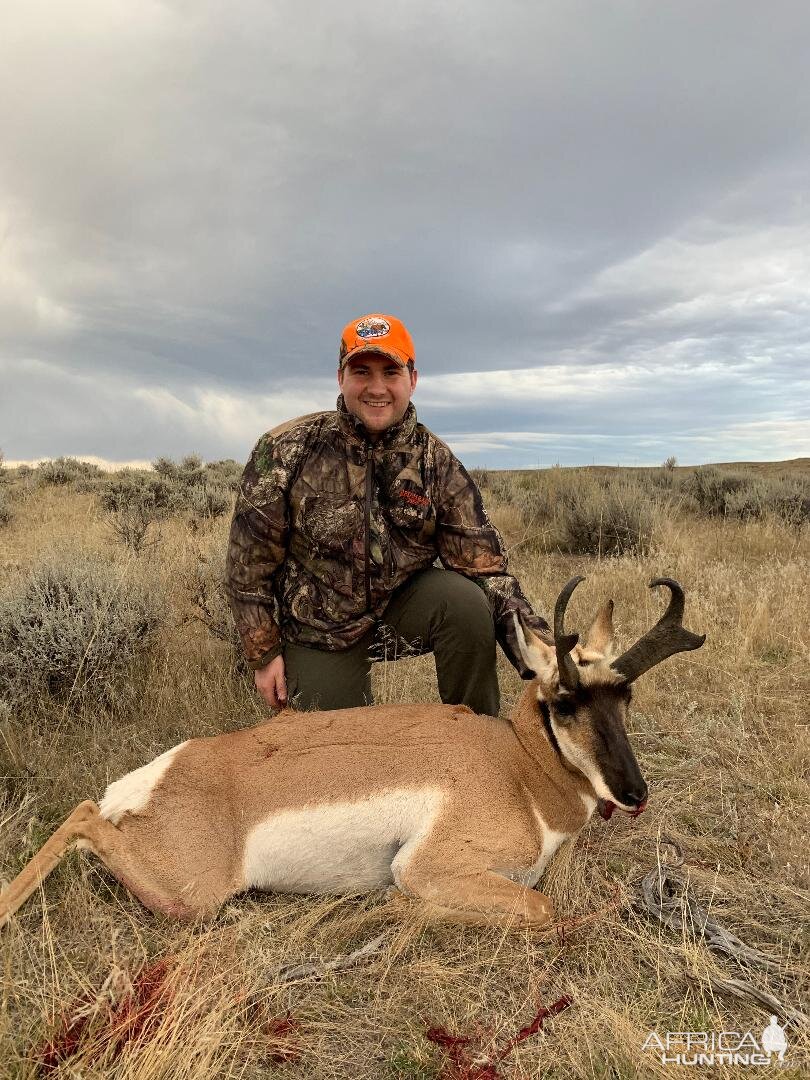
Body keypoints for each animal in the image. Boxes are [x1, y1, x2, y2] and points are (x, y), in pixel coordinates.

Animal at [0, 578, 704, 933]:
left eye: (624, 695)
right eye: (564, 700)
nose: (634, 793)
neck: (517, 767)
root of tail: (153, 780)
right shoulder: (428, 867)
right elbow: (540, 906)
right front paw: (397, 908)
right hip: (190, 895)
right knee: (81, 815)